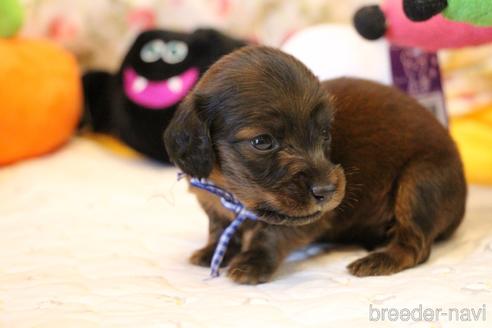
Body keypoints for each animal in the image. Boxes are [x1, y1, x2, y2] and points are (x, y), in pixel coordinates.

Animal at [164, 46, 466, 284]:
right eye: (262, 141)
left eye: (324, 134)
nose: (327, 190)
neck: (232, 192)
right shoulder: (212, 204)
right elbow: (219, 230)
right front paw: (215, 251)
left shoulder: (305, 218)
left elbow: (271, 233)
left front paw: (252, 263)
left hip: (420, 181)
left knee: (415, 243)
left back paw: (379, 259)